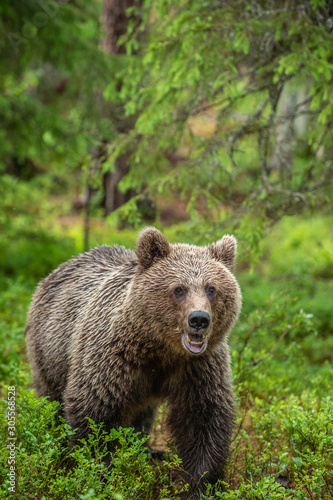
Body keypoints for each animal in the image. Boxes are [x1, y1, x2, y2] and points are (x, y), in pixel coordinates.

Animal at [24, 229, 240, 498]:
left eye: (211, 288)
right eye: (179, 289)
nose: (199, 319)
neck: (161, 349)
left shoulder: (198, 368)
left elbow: (204, 419)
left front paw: (200, 485)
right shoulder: (113, 359)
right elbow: (94, 414)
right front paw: (99, 474)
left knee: (143, 414)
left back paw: (147, 449)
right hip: (49, 351)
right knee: (51, 399)